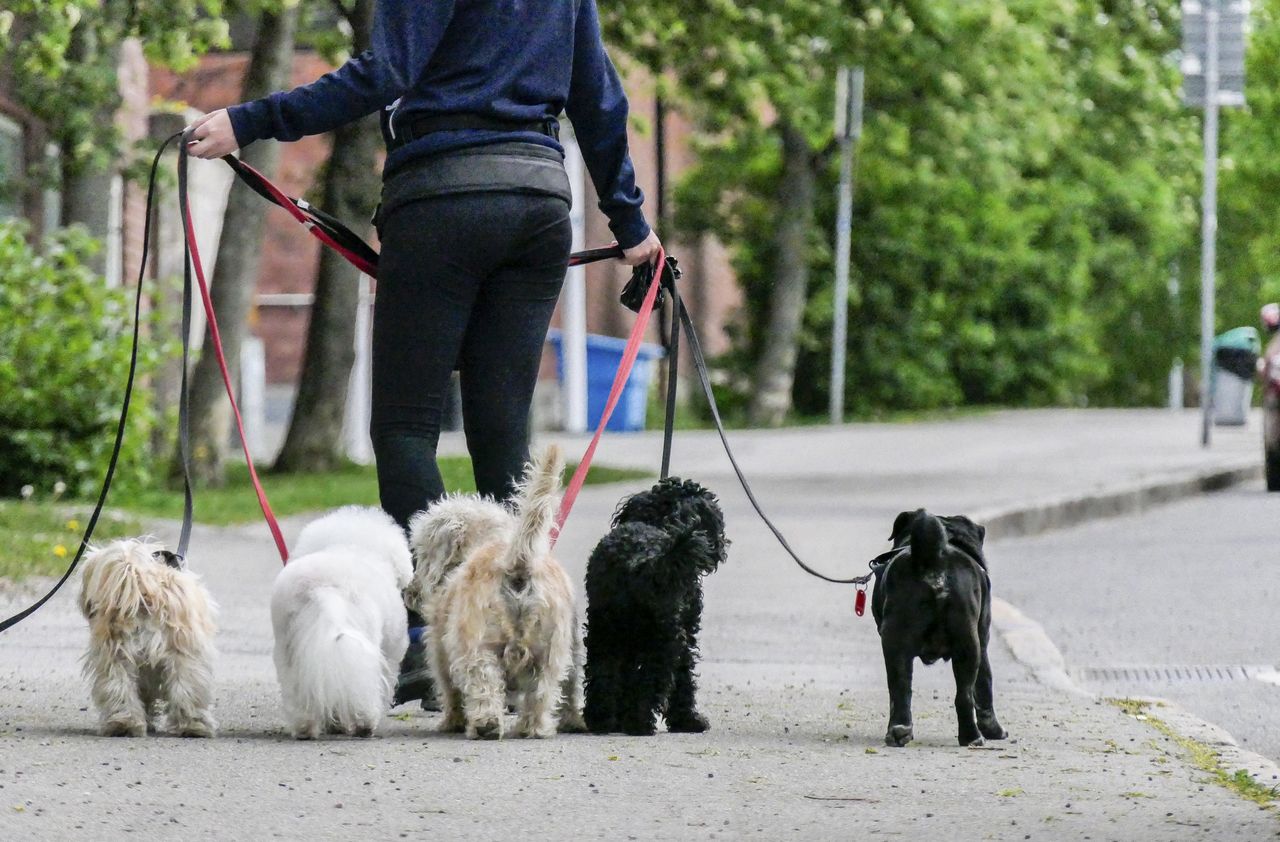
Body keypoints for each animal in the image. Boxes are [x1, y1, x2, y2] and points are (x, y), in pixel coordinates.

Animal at [77, 537, 218, 737]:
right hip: (184, 656)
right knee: (186, 691)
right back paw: (193, 726)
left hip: (118, 657)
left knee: (120, 687)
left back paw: (124, 724)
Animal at [272, 504, 412, 737]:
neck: (351, 545)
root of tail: (323, 589)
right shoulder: (392, 652)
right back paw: (365, 723)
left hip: (287, 648)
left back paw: (305, 726)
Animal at [407, 442, 586, 737]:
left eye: (420, 554)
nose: (408, 591)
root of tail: (516, 562)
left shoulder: (440, 648)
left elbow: (449, 688)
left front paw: (452, 720)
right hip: (553, 651)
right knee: (545, 692)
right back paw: (535, 727)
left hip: (478, 646)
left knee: (483, 684)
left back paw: (485, 725)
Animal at [583, 476, 727, 731]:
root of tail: (636, 562)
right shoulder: (684, 635)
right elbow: (684, 678)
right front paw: (687, 719)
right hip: (664, 639)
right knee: (652, 680)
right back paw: (639, 722)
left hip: (605, 630)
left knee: (602, 672)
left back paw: (602, 719)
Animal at [870, 509, 1008, 742]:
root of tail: (933, 561)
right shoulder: (983, 641)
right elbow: (985, 688)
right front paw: (995, 731)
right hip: (968, 643)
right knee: (960, 695)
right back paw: (970, 736)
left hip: (902, 644)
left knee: (903, 689)